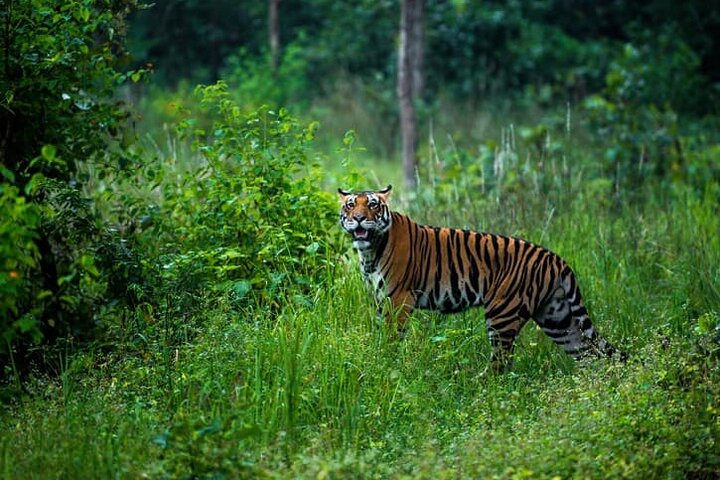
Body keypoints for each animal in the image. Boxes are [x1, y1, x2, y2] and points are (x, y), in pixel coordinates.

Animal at [338, 184, 623, 372]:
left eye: (372, 205)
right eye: (351, 205)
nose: (358, 219)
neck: (370, 250)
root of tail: (555, 258)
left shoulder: (399, 298)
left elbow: (392, 335)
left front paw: (387, 362)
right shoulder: (380, 298)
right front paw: (377, 356)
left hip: (502, 314)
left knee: (501, 363)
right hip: (556, 317)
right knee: (585, 353)